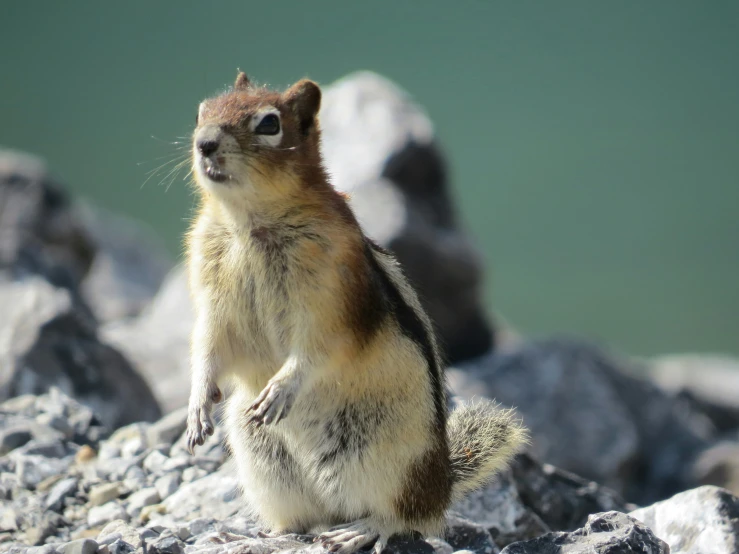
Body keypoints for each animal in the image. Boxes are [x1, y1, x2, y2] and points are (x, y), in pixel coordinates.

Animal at [186, 72, 532, 552]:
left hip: (388, 461)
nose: (205, 143)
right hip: (261, 455)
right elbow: (208, 345)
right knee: (300, 520)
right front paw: (197, 405)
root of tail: (441, 487)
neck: (250, 223)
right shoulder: (212, 296)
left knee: (400, 517)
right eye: (202, 111)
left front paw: (282, 389)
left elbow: (320, 348)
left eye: (269, 123)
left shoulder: (335, 296)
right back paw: (254, 532)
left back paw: (359, 530)